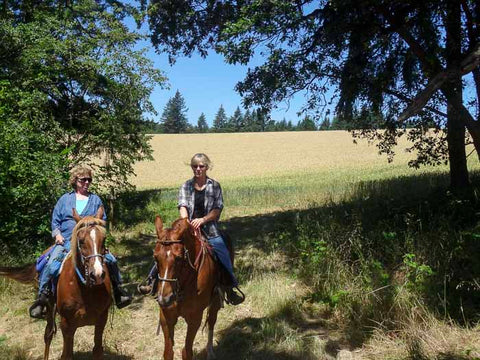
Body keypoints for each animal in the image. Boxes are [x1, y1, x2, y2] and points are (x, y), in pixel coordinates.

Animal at [0, 207, 111, 358]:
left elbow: (97, 350)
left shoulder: (101, 320)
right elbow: (66, 355)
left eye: (103, 239)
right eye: (81, 241)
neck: (85, 290)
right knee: (48, 335)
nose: (98, 274)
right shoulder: (66, 324)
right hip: (49, 308)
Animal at [152, 215, 223, 358]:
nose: (164, 299)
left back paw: (210, 351)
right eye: (155, 257)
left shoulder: (194, 318)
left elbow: (187, 352)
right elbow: (168, 352)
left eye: (179, 258)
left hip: (215, 302)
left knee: (211, 322)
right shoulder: (166, 317)